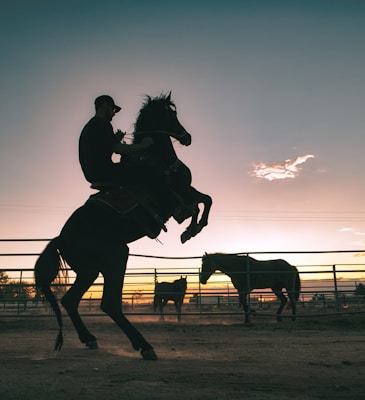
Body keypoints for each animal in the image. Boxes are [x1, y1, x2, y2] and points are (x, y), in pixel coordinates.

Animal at [34, 93, 210, 360]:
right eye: (171, 114)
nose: (186, 137)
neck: (159, 160)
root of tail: (61, 238)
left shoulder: (187, 190)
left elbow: (204, 200)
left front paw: (190, 229)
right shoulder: (177, 195)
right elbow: (200, 204)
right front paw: (191, 229)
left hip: (89, 271)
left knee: (70, 301)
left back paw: (90, 339)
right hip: (116, 257)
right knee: (109, 303)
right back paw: (144, 346)